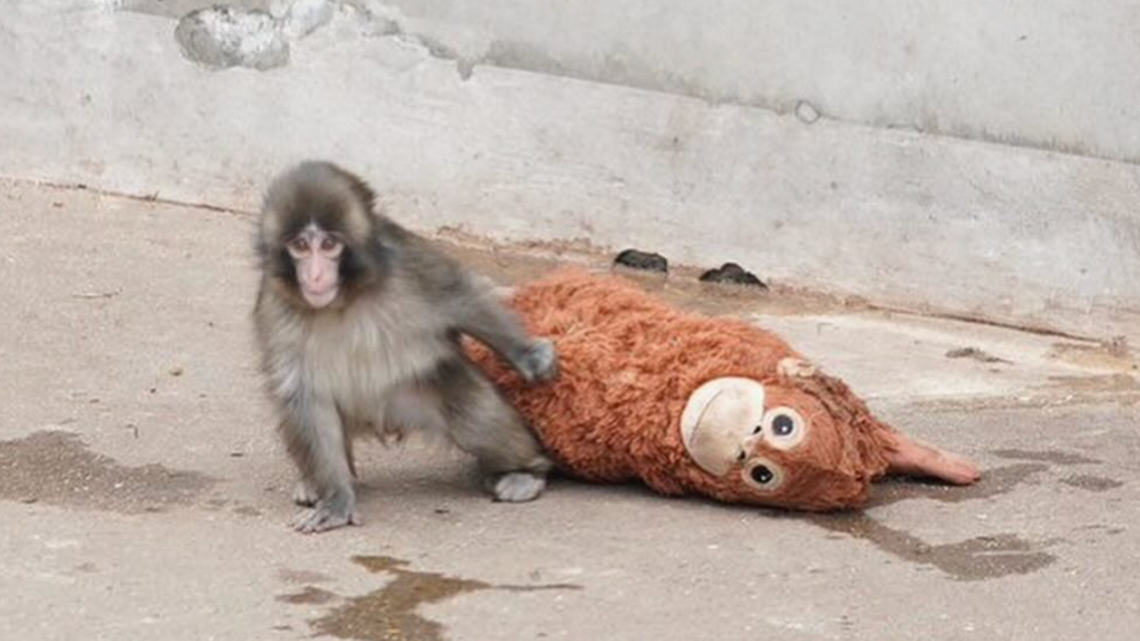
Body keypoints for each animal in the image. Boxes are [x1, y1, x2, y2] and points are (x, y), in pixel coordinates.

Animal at [251, 160, 557, 533]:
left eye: (328, 244)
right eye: (299, 246)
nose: (315, 276)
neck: (342, 300)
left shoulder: (408, 265)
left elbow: (459, 298)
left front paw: (526, 355)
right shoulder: (274, 306)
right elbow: (303, 394)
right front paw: (336, 499)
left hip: (410, 395)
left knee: (473, 415)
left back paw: (527, 471)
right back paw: (315, 482)